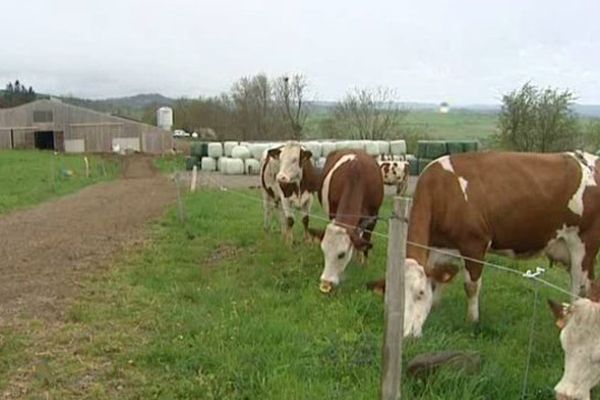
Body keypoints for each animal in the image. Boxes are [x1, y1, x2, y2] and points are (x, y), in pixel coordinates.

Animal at [314, 148, 384, 292]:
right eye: (323, 250)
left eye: (341, 254)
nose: (325, 282)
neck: (356, 175)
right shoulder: (333, 213)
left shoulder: (373, 218)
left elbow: (366, 241)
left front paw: (365, 264)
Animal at [368, 150, 600, 338]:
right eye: (389, 296)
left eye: (420, 294)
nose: (405, 333)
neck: (443, 190)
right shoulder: (439, 248)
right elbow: (439, 280)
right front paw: (435, 307)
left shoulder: (475, 244)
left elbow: (471, 286)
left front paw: (472, 320)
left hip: (583, 245)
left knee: (578, 289)